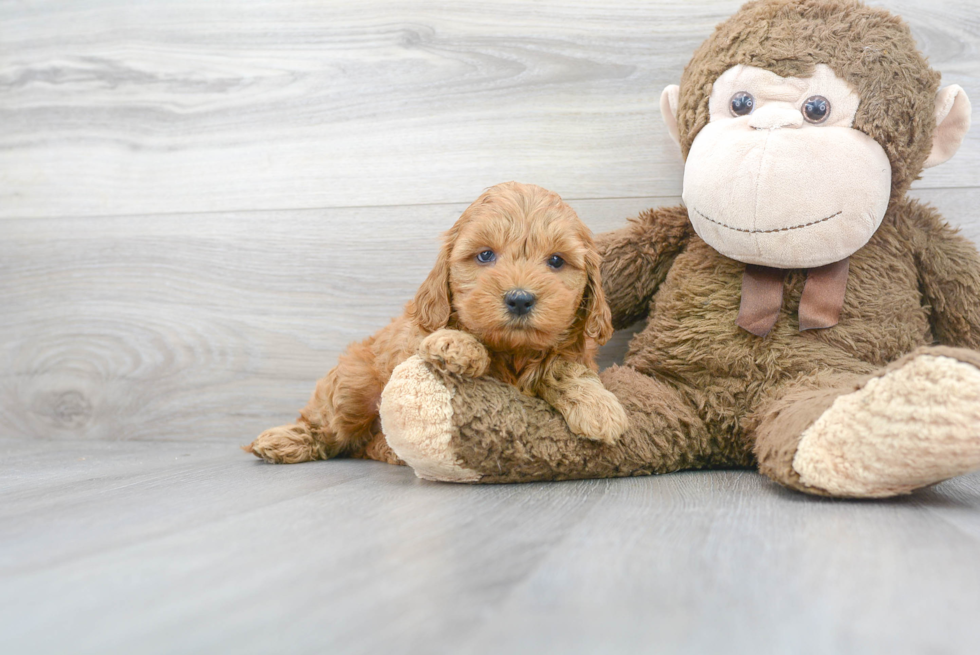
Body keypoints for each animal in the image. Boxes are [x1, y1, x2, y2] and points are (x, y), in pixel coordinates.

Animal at [245, 179, 628, 466]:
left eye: (556, 261)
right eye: (485, 255)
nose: (519, 298)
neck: (512, 352)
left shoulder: (571, 351)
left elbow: (562, 367)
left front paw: (598, 405)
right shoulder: (412, 336)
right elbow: (436, 340)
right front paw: (457, 345)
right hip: (353, 385)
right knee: (330, 426)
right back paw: (285, 440)